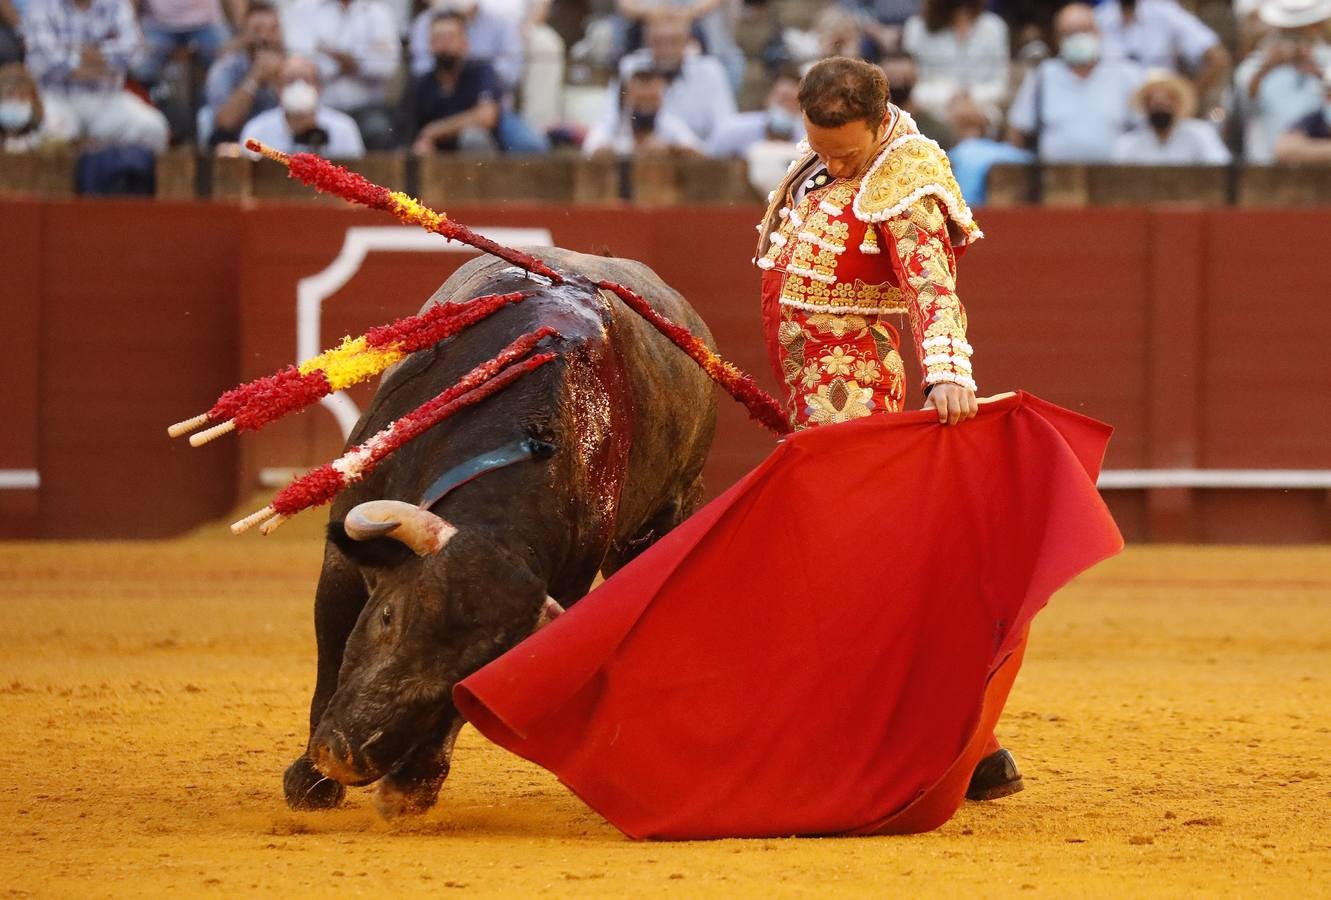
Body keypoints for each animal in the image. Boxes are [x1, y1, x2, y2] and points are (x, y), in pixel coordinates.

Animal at [280, 247, 718, 814]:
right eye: (388, 617)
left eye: (463, 670)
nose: (346, 758)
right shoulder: (344, 557)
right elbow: (332, 647)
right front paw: (310, 782)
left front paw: (410, 787)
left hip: (665, 515)